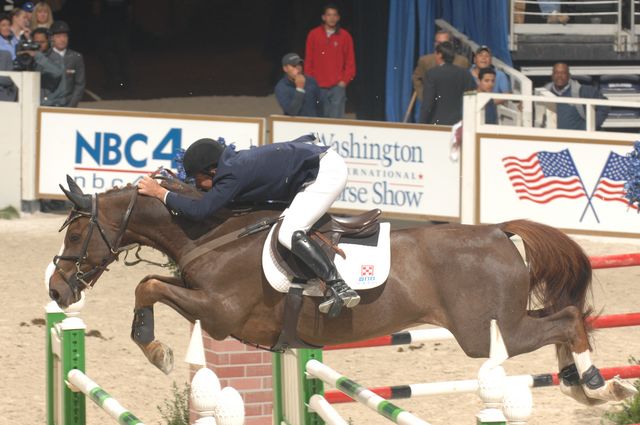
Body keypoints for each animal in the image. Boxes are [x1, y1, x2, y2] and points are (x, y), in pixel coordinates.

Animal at [48, 176, 636, 404]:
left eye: (76, 234)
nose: (56, 289)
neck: (212, 231)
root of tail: (497, 231)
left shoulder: (218, 313)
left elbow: (147, 284)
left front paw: (156, 350)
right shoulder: (206, 304)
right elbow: (150, 284)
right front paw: (152, 344)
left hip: (487, 333)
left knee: (567, 320)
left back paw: (594, 382)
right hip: (495, 329)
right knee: (564, 320)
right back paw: (578, 384)